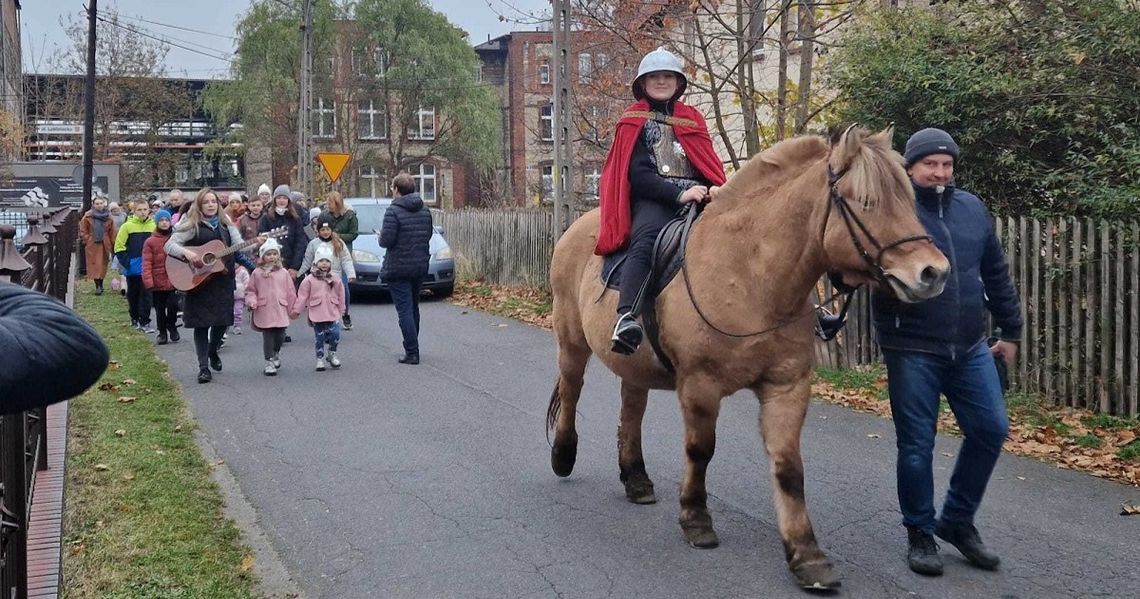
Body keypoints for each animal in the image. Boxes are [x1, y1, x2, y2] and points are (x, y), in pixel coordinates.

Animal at [542, 124, 953, 588]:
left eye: (908, 198)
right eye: (867, 201)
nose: (933, 273)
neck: (751, 274)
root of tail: (578, 227)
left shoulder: (787, 386)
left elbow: (789, 468)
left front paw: (806, 555)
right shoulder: (700, 386)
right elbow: (700, 450)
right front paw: (696, 519)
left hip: (636, 364)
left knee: (632, 409)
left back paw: (636, 478)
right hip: (571, 341)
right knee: (572, 390)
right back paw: (564, 455)